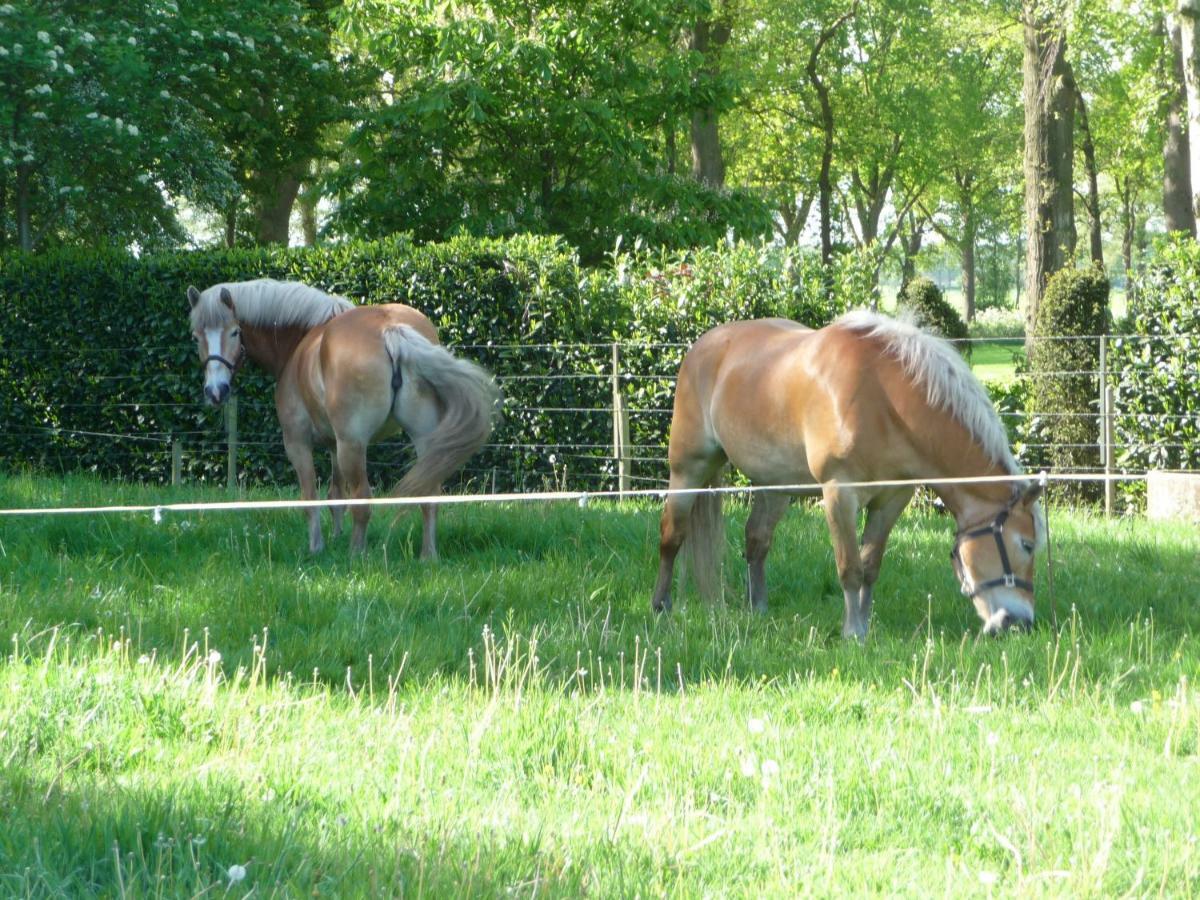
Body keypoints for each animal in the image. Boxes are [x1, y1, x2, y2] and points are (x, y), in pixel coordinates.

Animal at [189, 278, 499, 561]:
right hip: (420, 440)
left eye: (235, 332)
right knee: (429, 496)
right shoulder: (332, 445)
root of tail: (391, 330)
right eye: (196, 336)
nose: (216, 391)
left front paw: (317, 547)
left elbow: (311, 498)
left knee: (362, 499)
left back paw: (356, 555)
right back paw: (427, 556)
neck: (299, 345)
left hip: (353, 445)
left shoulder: (298, 443)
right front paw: (336, 537)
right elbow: (335, 496)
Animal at [652, 314, 1046, 638]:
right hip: (688, 470)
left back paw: (758, 608)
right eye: (1026, 544)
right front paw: (852, 631)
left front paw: (865, 624)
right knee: (672, 535)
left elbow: (870, 566)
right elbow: (849, 567)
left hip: (775, 485)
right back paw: (661, 606)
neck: (884, 399)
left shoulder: (891, 500)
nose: (1021, 623)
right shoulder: (840, 493)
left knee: (756, 540)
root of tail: (704, 345)